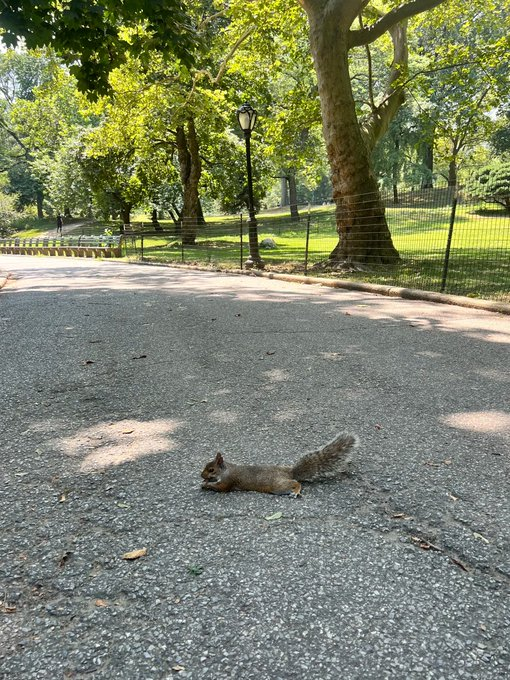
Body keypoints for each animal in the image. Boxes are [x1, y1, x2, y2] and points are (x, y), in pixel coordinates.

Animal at [200, 431, 358, 497]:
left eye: (211, 469)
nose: (201, 475)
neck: (226, 470)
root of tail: (290, 472)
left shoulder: (228, 481)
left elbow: (221, 488)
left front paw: (207, 485)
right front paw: (204, 482)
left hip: (278, 485)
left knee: (296, 483)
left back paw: (296, 491)